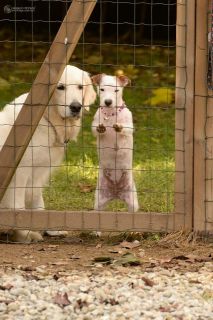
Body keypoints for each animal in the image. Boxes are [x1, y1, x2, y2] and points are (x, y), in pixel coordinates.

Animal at [0, 65, 96, 241]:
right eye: (60, 87)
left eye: (80, 87)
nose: (76, 107)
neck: (46, 119)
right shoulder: (20, 171)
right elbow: (18, 206)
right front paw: (25, 233)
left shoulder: (40, 171)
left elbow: (38, 202)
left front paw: (50, 228)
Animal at [91, 73, 138, 212]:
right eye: (102, 89)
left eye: (116, 90)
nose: (108, 102)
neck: (110, 114)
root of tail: (116, 193)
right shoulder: (94, 125)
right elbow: (96, 129)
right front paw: (101, 128)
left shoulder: (130, 126)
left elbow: (126, 128)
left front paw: (119, 127)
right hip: (99, 202)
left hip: (133, 202)